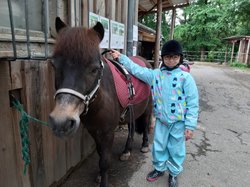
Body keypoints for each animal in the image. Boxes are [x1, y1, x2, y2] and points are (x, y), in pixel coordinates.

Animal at [47, 17, 151, 187]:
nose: (61, 122)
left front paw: (104, 180)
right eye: (54, 65)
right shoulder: (94, 131)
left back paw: (145, 145)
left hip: (148, 109)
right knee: (131, 127)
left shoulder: (108, 133)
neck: (99, 102)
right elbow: (100, 153)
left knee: (147, 124)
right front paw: (100, 175)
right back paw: (126, 151)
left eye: (94, 69)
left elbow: (105, 161)